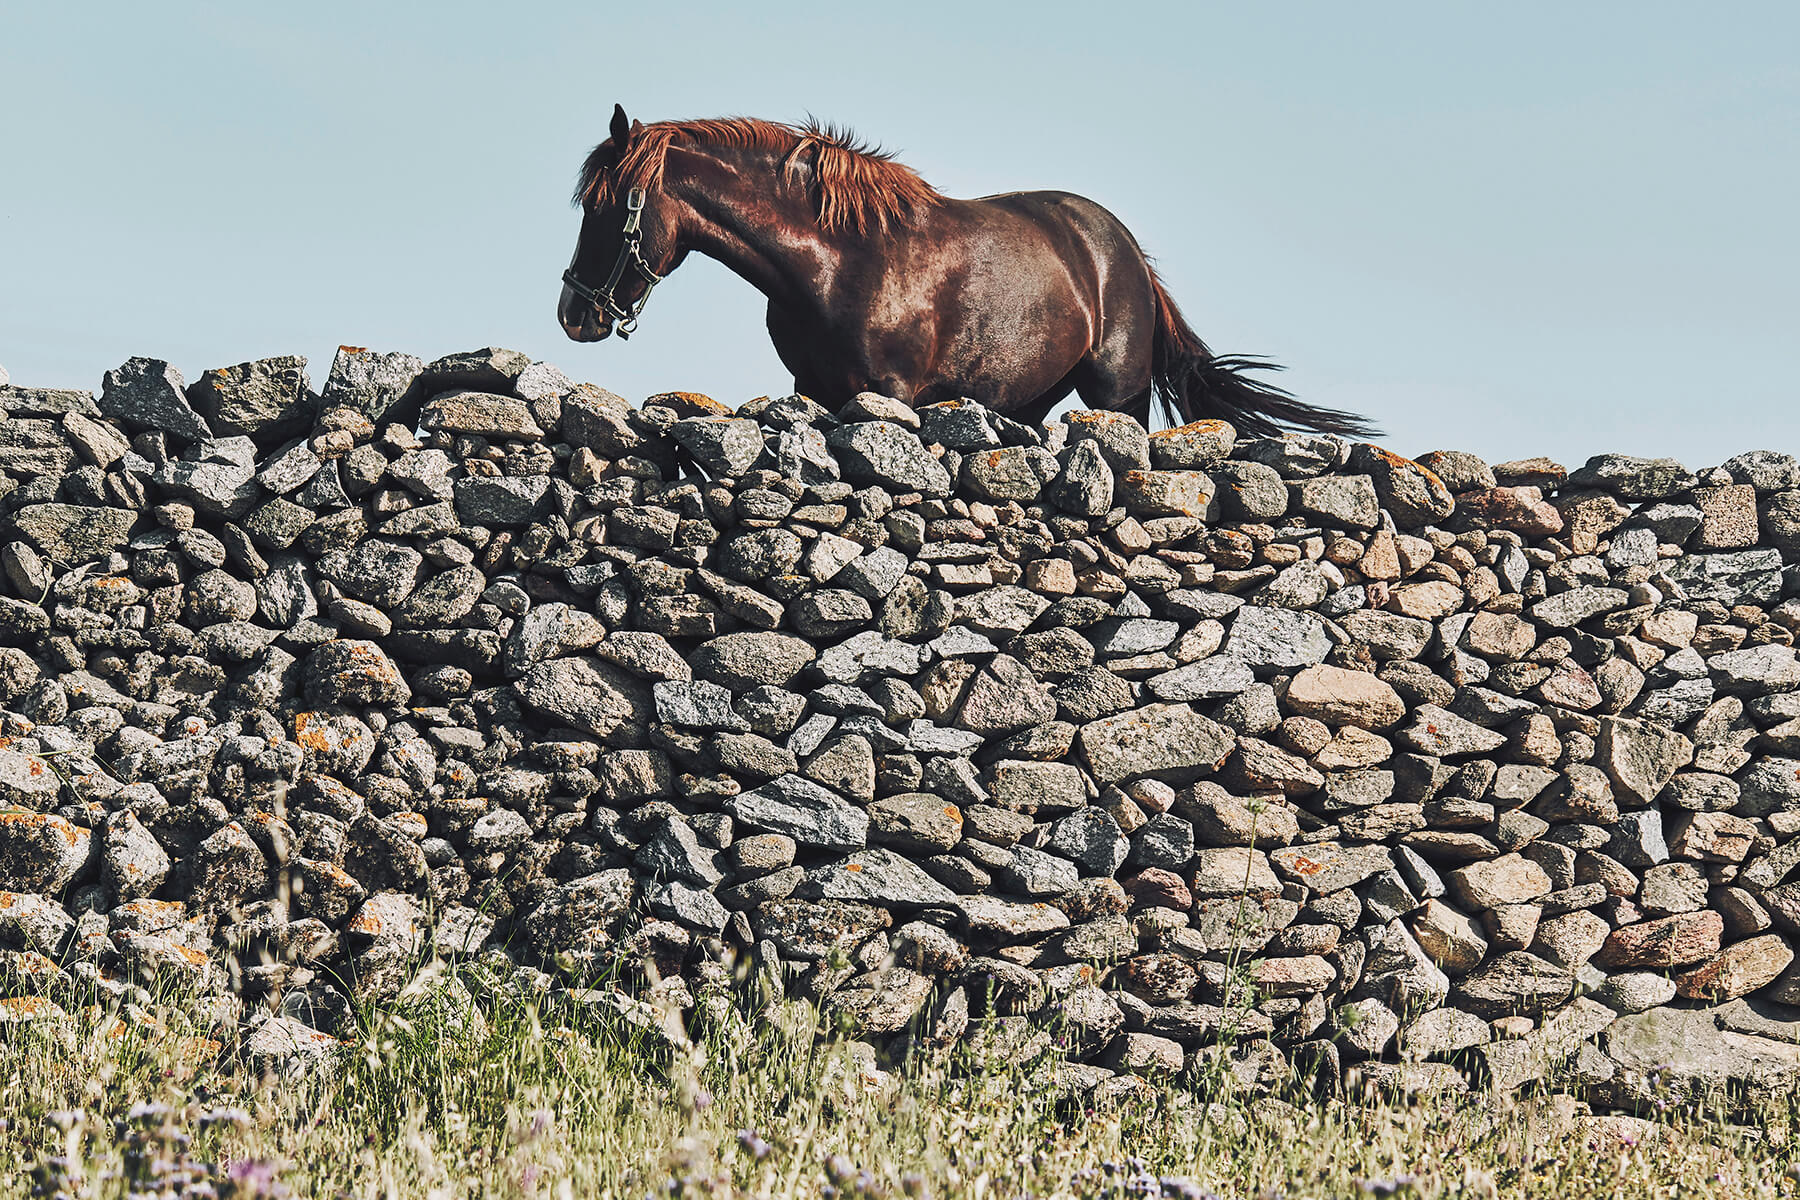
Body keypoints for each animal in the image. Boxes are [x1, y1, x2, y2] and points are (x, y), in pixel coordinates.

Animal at [561, 105, 1375, 438]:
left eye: (603, 207)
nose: (574, 315)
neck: (836, 261)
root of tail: (1123, 251)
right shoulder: (815, 390)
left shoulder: (886, 393)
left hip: (1117, 396)